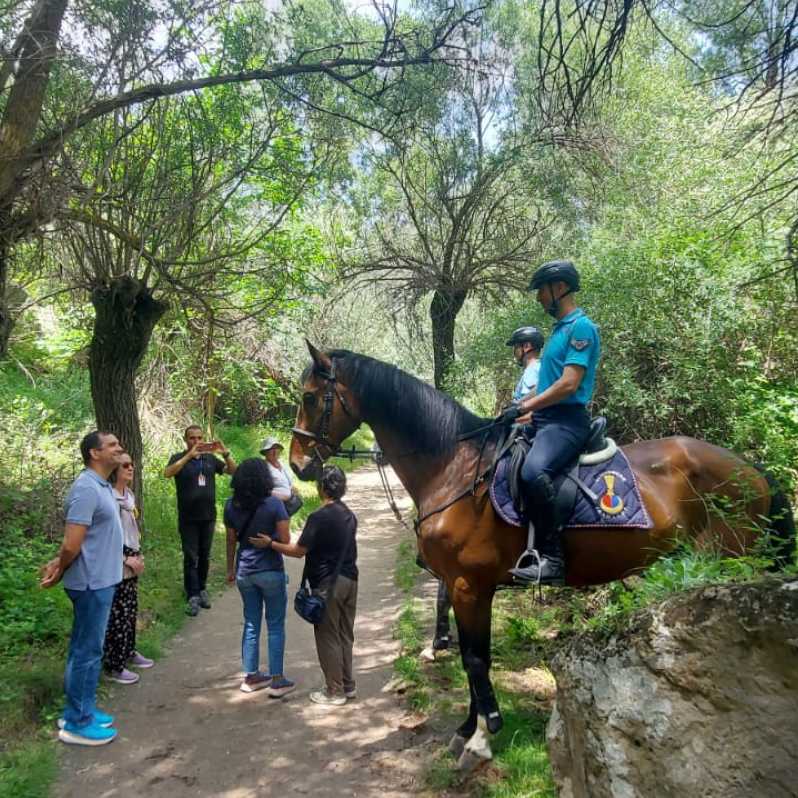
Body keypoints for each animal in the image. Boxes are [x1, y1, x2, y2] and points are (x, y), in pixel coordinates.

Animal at [290, 344, 796, 768]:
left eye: (311, 397)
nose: (298, 464)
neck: (454, 469)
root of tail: (750, 468)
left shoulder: (469, 587)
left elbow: (476, 660)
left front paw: (482, 739)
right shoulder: (463, 586)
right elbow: (472, 658)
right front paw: (467, 729)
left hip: (729, 565)